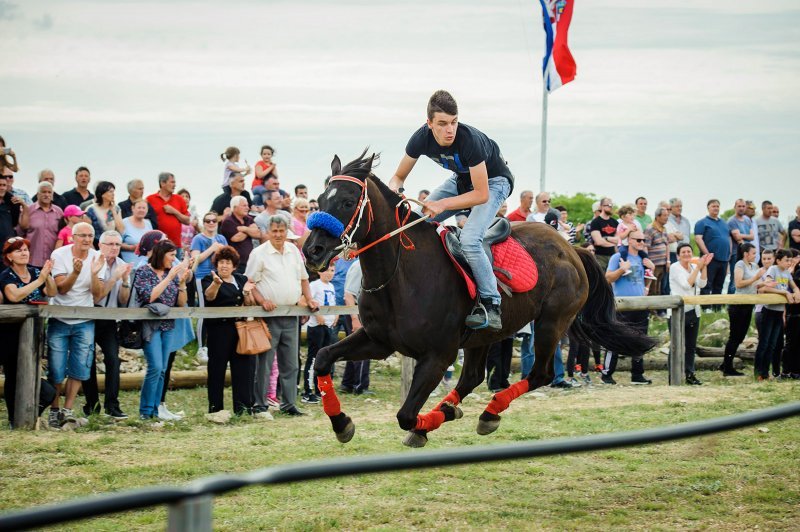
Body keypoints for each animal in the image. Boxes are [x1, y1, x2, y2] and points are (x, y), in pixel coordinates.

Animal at [304, 152, 652, 446]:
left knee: (539, 374)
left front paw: (424, 424)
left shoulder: (437, 355)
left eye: (348, 201)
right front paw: (341, 422)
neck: (401, 276)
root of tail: (572, 249)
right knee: (473, 377)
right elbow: (322, 357)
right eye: (319, 200)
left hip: (552, 322)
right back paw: (454, 409)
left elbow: (405, 415)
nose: (312, 251)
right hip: (485, 336)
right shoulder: (379, 341)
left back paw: (488, 412)